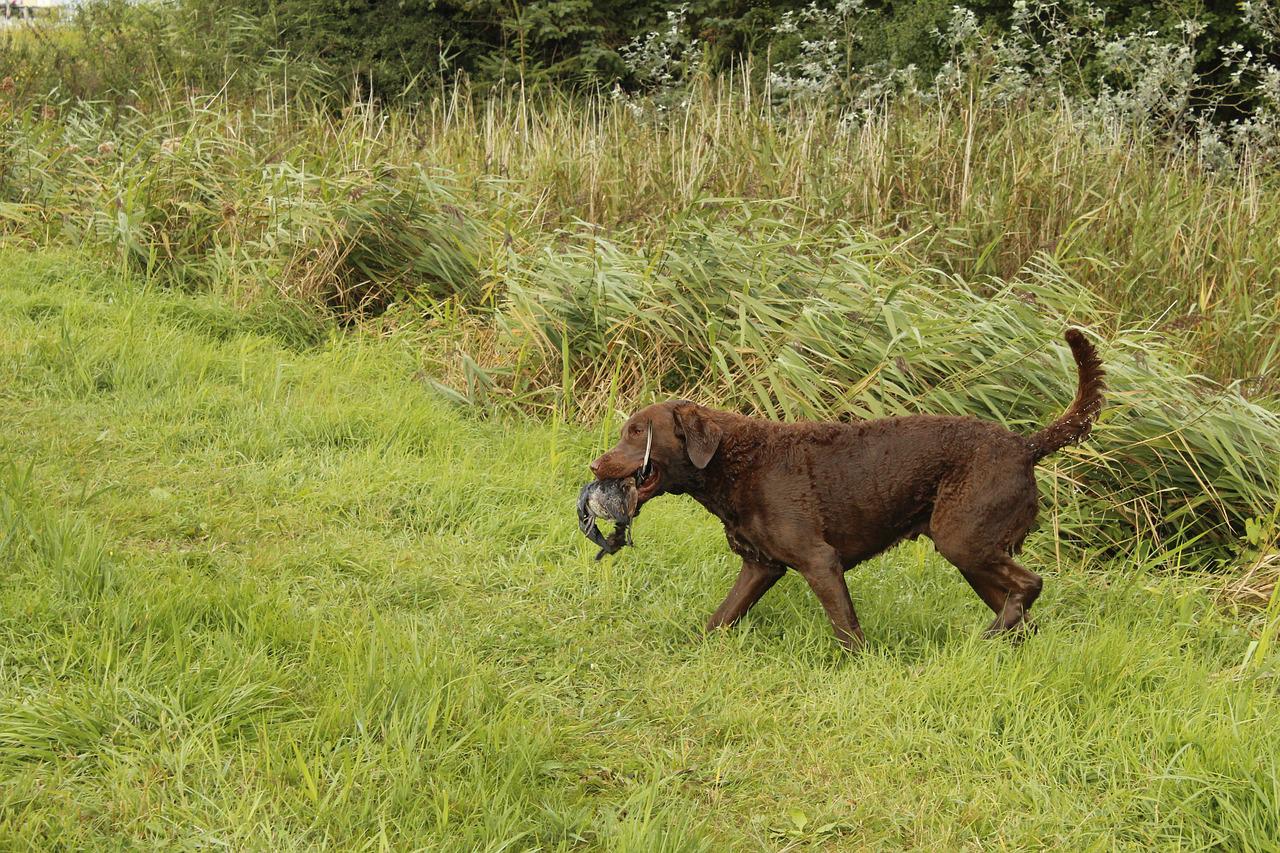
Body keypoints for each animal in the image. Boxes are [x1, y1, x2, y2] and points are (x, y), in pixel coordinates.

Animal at [586, 327, 1100, 648]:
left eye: (637, 432)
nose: (594, 464)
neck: (734, 462)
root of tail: (1024, 445)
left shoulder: (820, 561)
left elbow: (848, 630)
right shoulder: (760, 566)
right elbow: (721, 617)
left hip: (964, 541)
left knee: (1031, 584)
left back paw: (990, 637)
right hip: (974, 554)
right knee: (1022, 611)